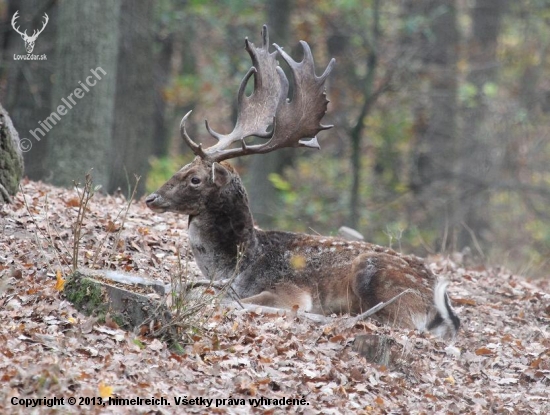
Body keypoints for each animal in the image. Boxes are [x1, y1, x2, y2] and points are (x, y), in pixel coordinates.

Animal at [147, 26, 462, 340]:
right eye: (183, 167)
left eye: (195, 179)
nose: (152, 198)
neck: (238, 265)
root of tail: (444, 310)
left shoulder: (290, 289)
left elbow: (232, 300)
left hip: (374, 276)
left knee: (392, 321)